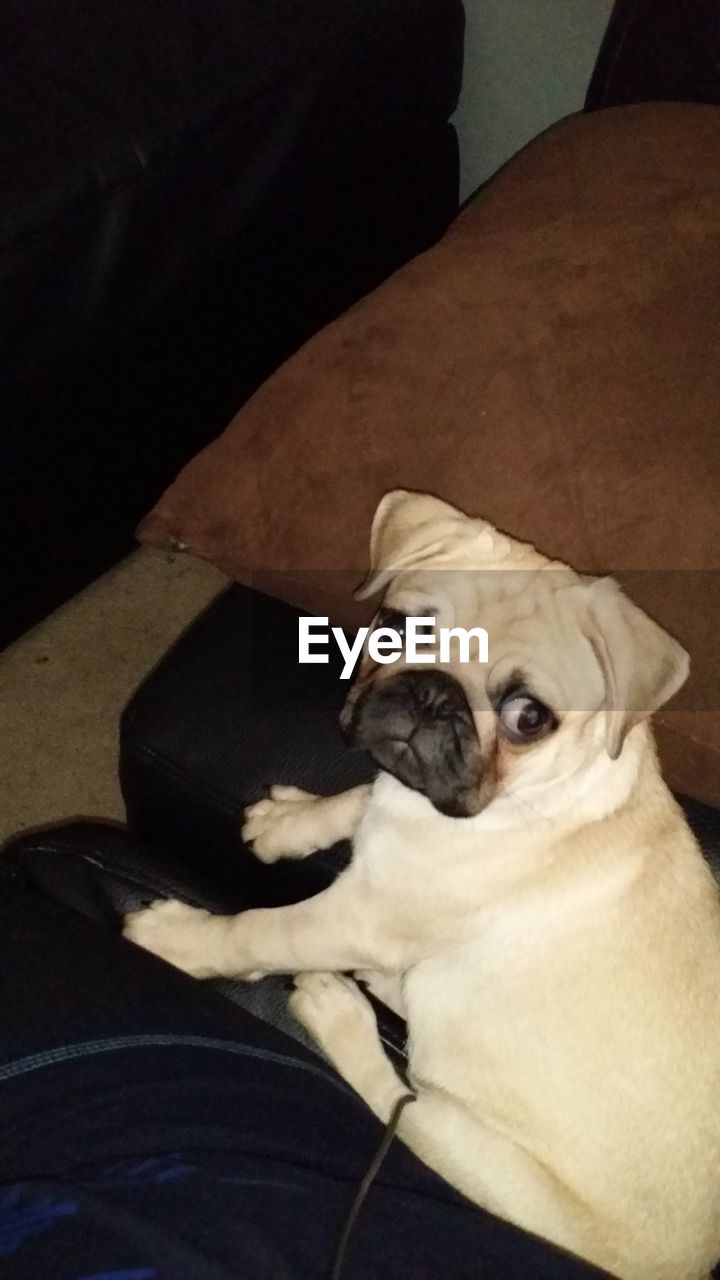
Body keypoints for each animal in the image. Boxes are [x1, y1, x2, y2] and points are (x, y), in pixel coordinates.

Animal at [126, 486, 717, 1280]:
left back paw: (338, 1011)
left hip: (468, 1144)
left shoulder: (352, 916)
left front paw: (179, 940)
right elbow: (355, 798)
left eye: (528, 717)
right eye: (398, 627)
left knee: (395, 1103)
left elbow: (255, 929)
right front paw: (290, 822)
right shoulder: (384, 810)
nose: (434, 694)